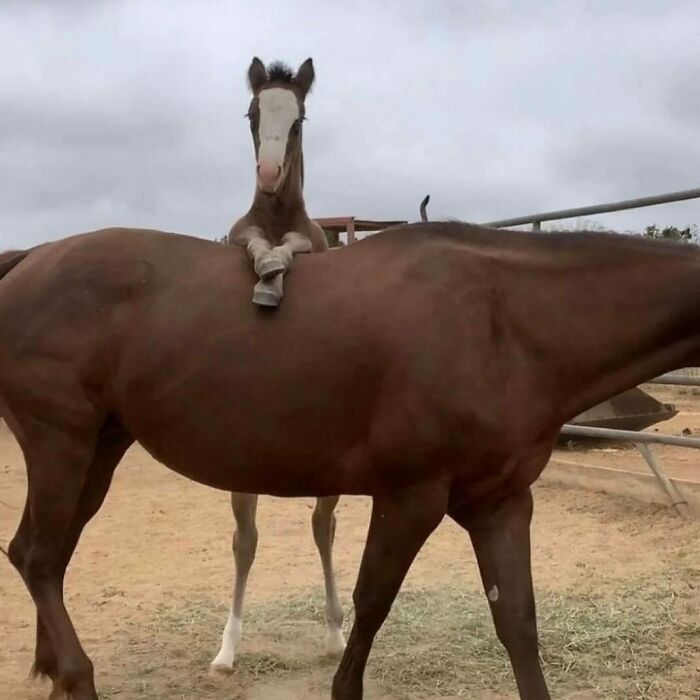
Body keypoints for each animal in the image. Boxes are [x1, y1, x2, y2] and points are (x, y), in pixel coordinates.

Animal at [1, 222, 698, 700]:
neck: (501, 322)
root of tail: (29, 260)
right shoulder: (410, 497)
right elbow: (370, 608)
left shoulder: (500, 503)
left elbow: (518, 624)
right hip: (60, 444)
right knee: (38, 558)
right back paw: (77, 677)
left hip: (98, 451)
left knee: (43, 555)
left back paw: (53, 671)